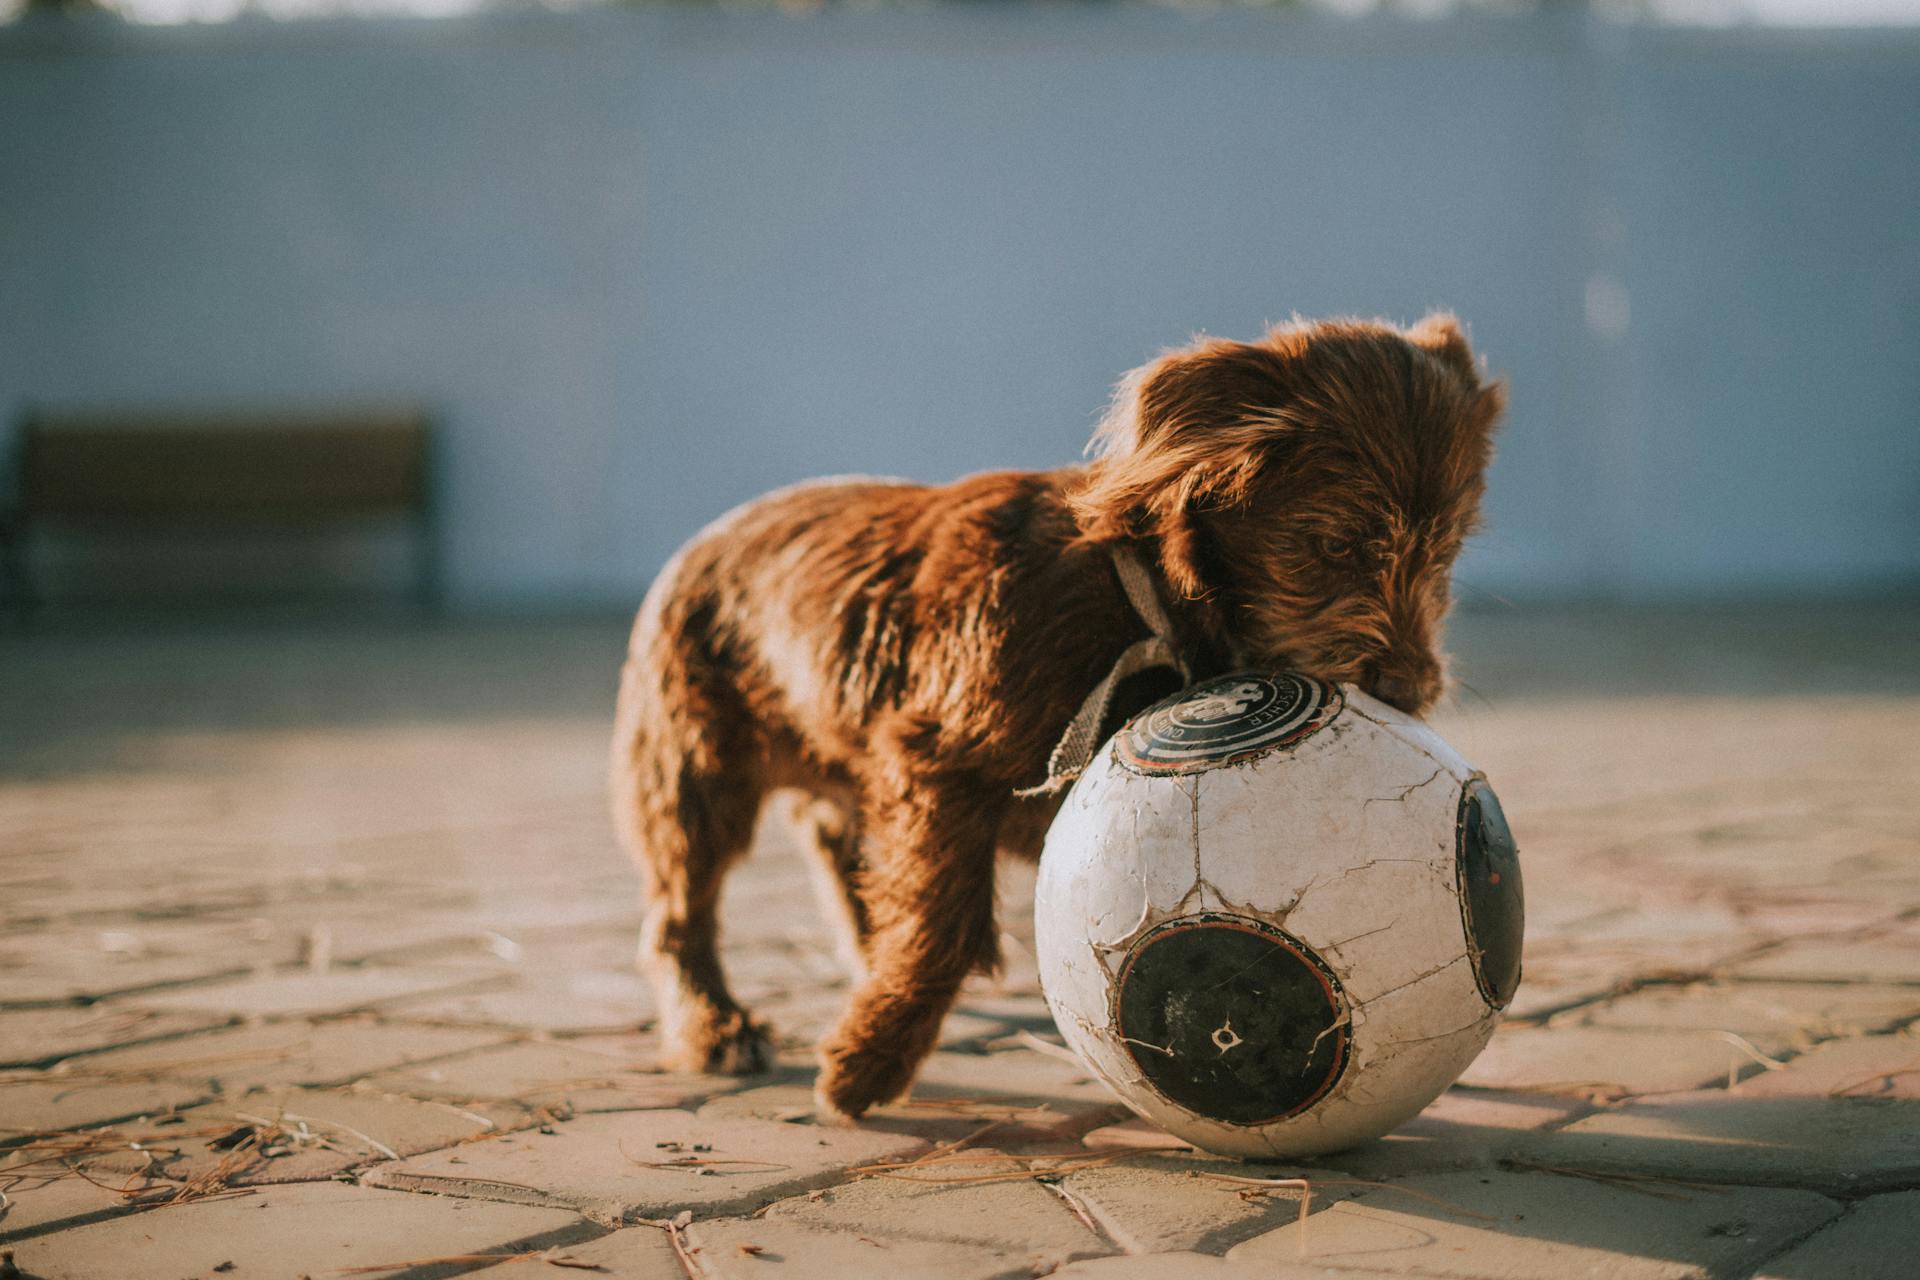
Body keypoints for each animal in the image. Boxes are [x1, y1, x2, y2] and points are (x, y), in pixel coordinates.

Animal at [610, 314, 1497, 1128]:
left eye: (1448, 551)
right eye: (1337, 544)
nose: (1411, 687)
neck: (1138, 590)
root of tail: (709, 537)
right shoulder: (935, 765)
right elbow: (941, 926)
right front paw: (870, 1061)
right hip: (693, 773)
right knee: (680, 914)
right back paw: (715, 1027)